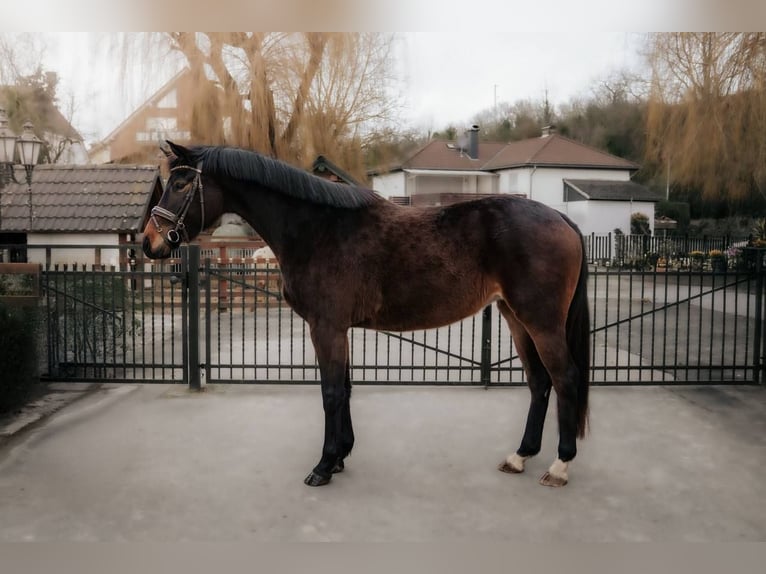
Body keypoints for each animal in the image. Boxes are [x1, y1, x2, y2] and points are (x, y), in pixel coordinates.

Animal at [143, 141, 591, 488]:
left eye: (181, 183)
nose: (149, 243)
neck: (317, 228)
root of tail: (561, 218)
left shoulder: (325, 328)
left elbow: (331, 392)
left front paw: (323, 466)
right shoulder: (337, 329)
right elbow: (345, 389)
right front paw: (341, 456)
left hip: (541, 321)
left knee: (564, 378)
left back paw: (559, 465)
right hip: (515, 317)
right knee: (539, 382)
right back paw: (520, 456)